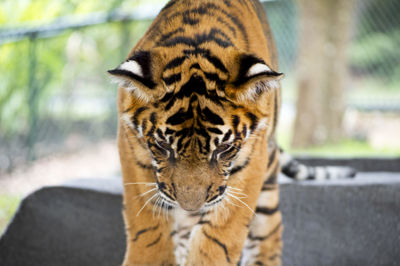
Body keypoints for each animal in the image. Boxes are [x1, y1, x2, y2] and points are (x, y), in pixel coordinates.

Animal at [108, 1, 354, 264]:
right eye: (163, 147)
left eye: (223, 149)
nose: (191, 206)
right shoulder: (131, 148)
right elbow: (147, 225)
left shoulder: (251, 161)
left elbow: (218, 237)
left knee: (270, 230)